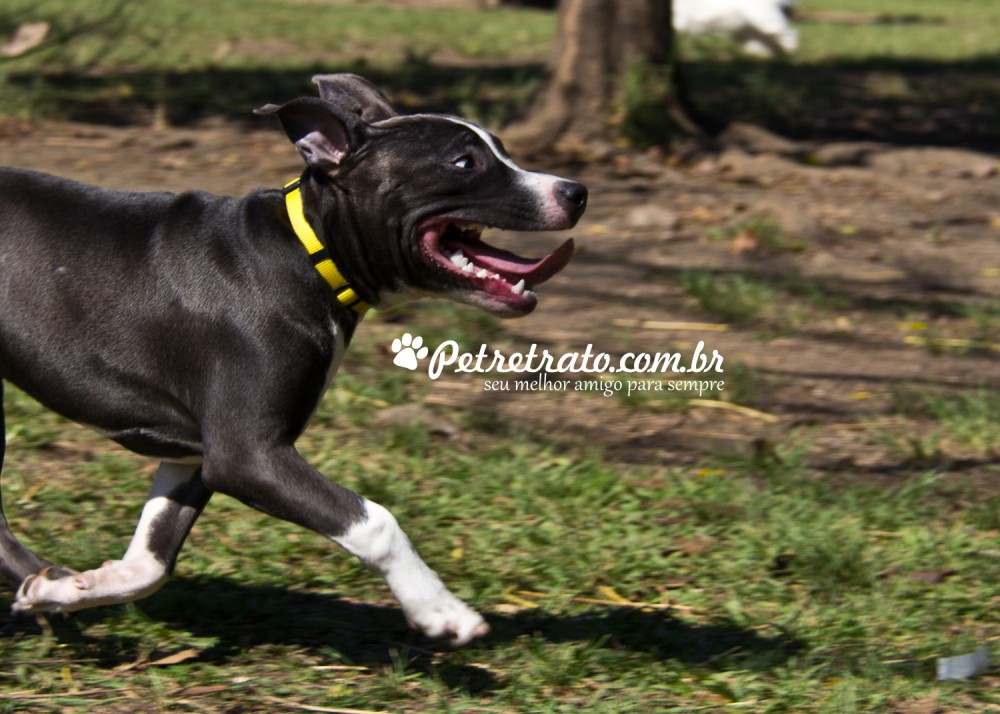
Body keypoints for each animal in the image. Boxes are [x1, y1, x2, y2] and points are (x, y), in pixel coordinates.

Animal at [0, 73, 584, 644]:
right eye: (464, 162)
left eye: (502, 149)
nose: (577, 191)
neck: (307, 254)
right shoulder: (248, 455)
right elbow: (376, 522)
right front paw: (442, 611)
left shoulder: (197, 453)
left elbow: (150, 563)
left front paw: (64, 588)